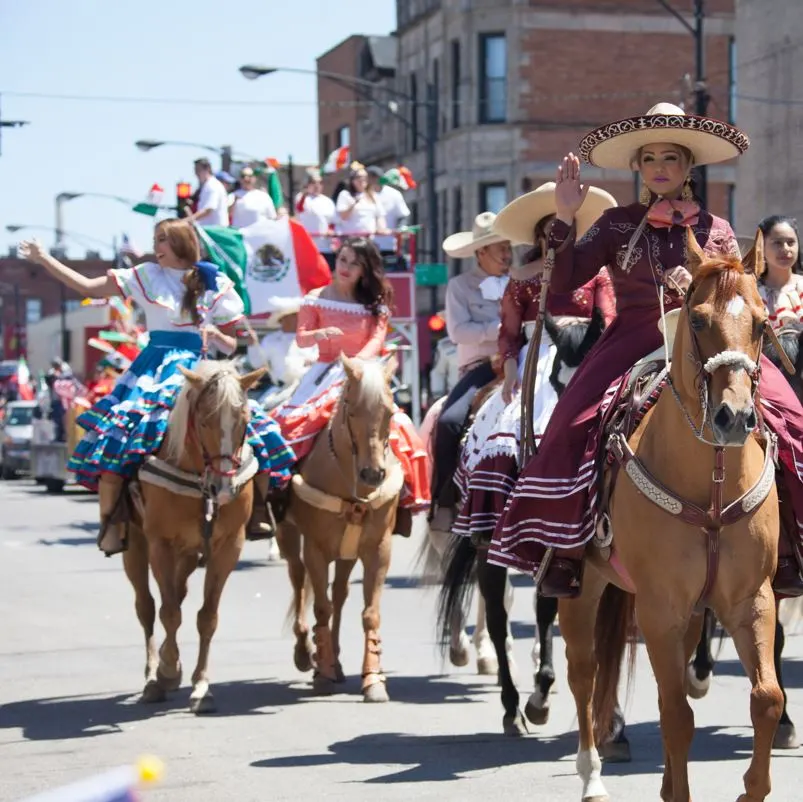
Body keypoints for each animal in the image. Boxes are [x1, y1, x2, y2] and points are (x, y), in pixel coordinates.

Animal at [123, 362, 264, 712]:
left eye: (245, 421)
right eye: (203, 421)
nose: (223, 489)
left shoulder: (228, 546)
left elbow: (206, 617)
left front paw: (201, 686)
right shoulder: (160, 544)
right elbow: (169, 612)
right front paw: (167, 670)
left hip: (187, 553)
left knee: (178, 592)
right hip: (135, 544)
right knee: (147, 606)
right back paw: (152, 675)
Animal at [278, 356, 402, 700]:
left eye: (390, 411)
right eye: (351, 409)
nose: (373, 474)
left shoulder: (378, 550)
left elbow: (369, 614)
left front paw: (373, 679)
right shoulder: (316, 550)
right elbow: (321, 608)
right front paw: (321, 671)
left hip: (347, 553)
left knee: (340, 594)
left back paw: (336, 662)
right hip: (289, 538)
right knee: (298, 581)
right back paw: (307, 654)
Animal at [436, 306, 632, 752]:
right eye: (561, 377)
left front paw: (612, 724)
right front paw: (540, 696)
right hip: (486, 547)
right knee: (496, 618)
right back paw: (511, 706)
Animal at [560, 228, 784, 796]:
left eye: (761, 322)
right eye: (698, 320)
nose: (734, 417)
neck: (712, 484)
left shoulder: (751, 599)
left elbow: (767, 699)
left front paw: (752, 788)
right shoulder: (658, 607)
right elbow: (676, 715)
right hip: (582, 587)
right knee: (583, 670)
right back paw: (591, 776)